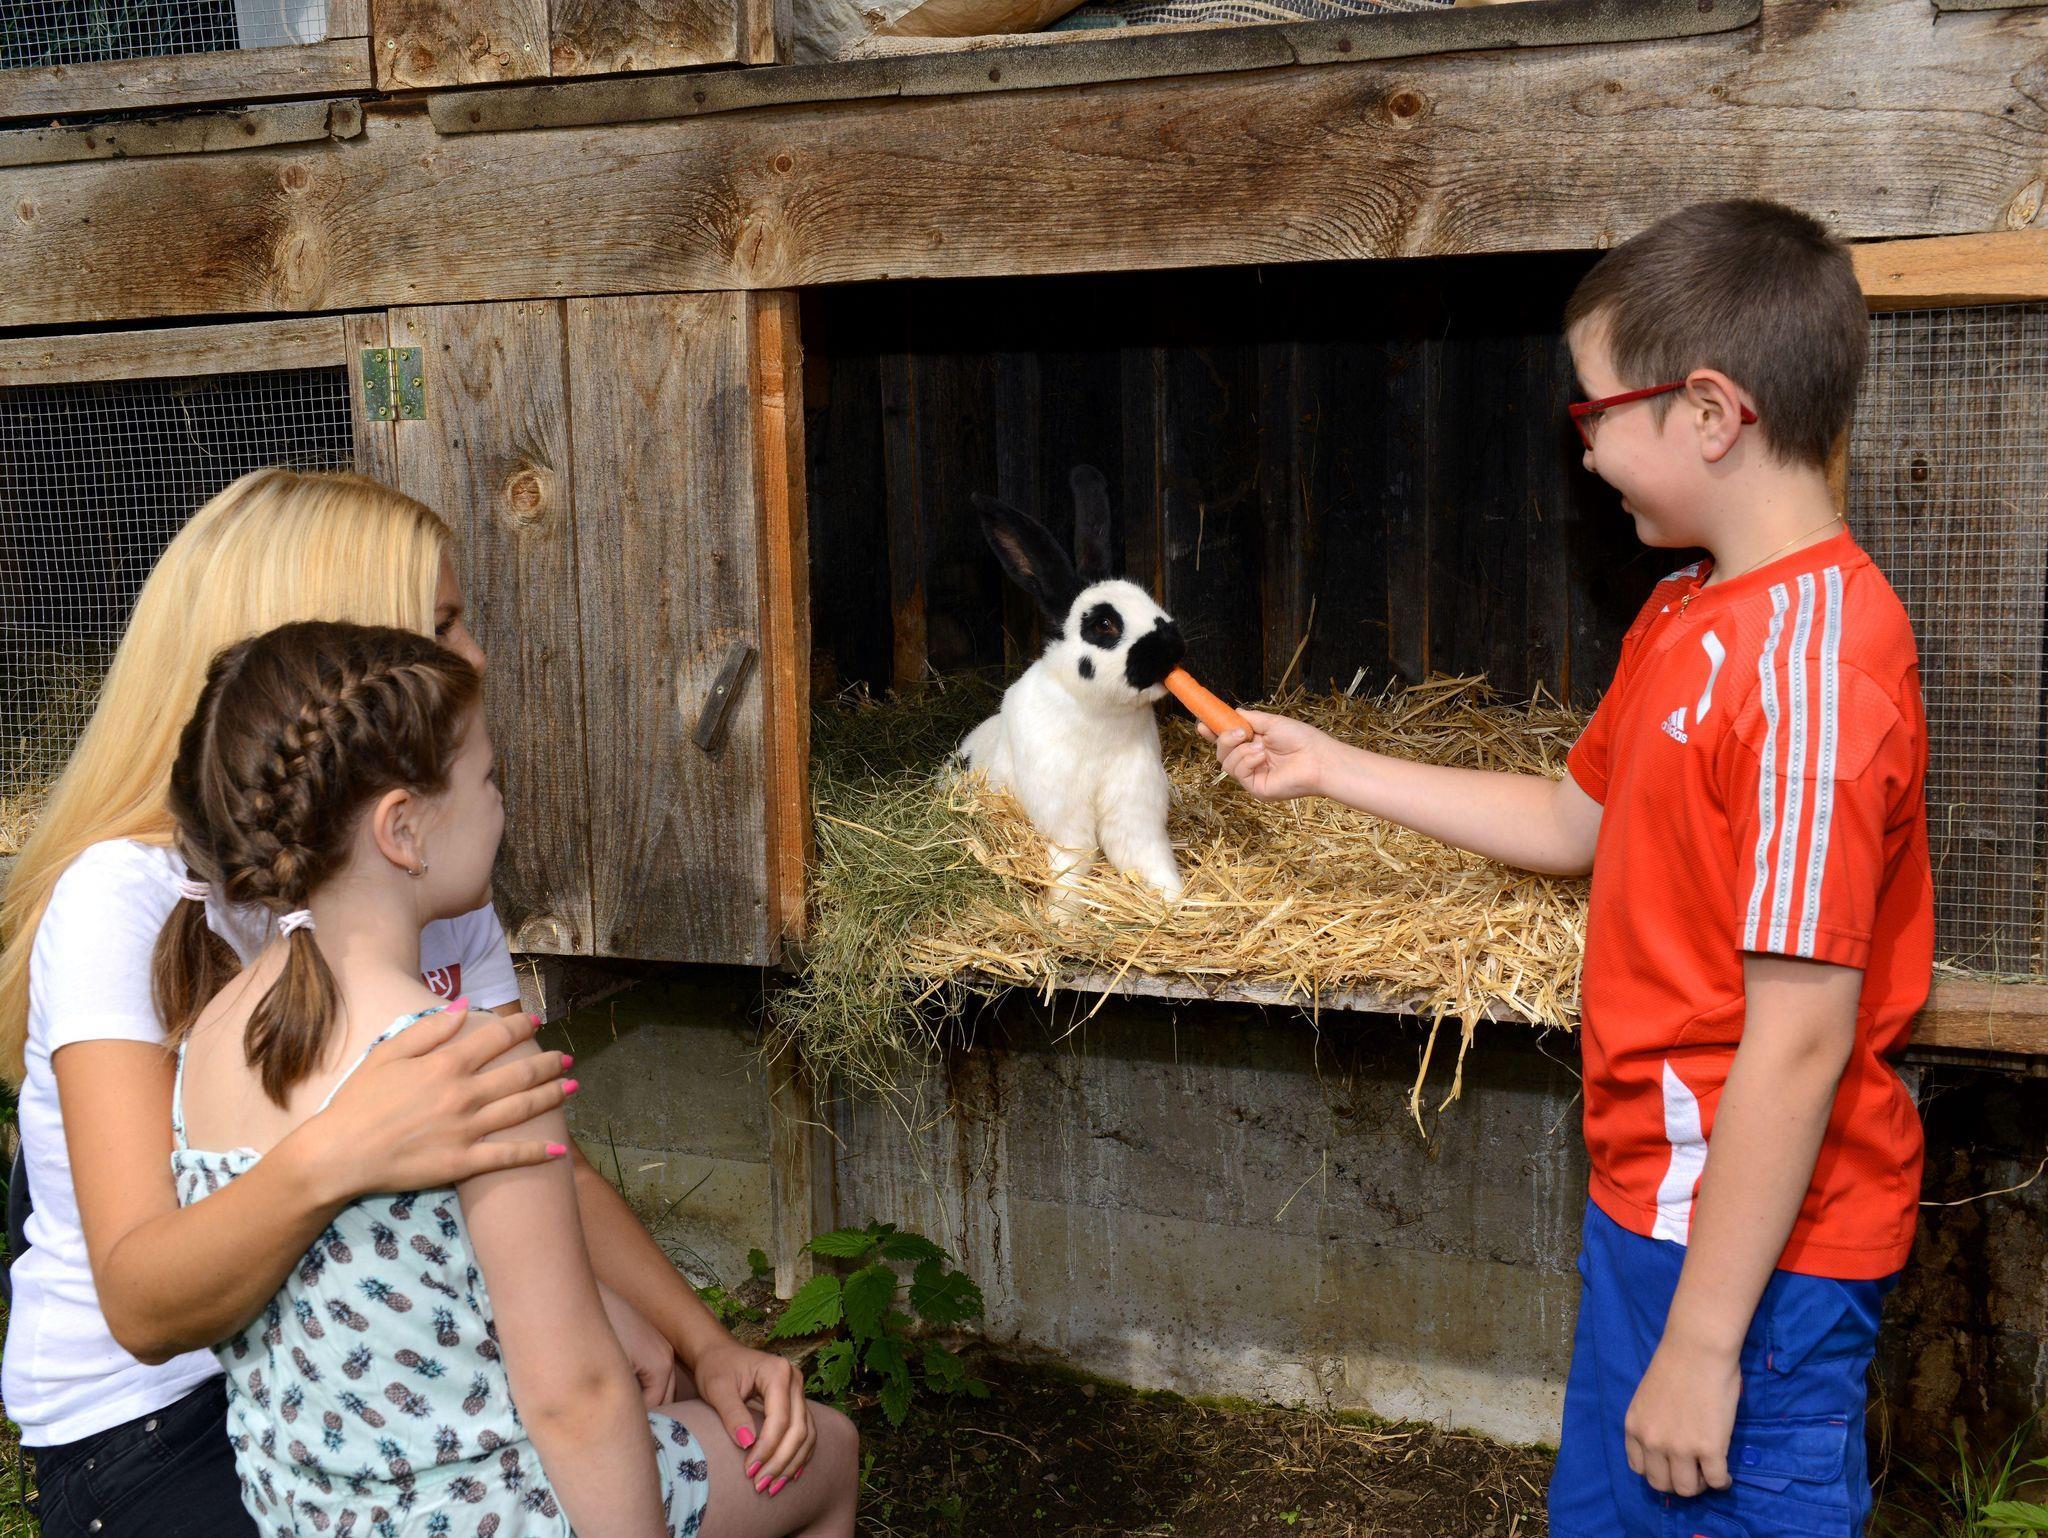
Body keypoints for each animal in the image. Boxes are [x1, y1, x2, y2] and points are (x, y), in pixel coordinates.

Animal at [957, 464, 1187, 903]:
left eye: (1150, 601)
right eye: (1104, 624)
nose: (1172, 649)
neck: (1101, 719)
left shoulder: (1135, 812)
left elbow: (1149, 859)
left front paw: (1178, 901)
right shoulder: (1063, 818)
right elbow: (1071, 867)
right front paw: (1062, 914)